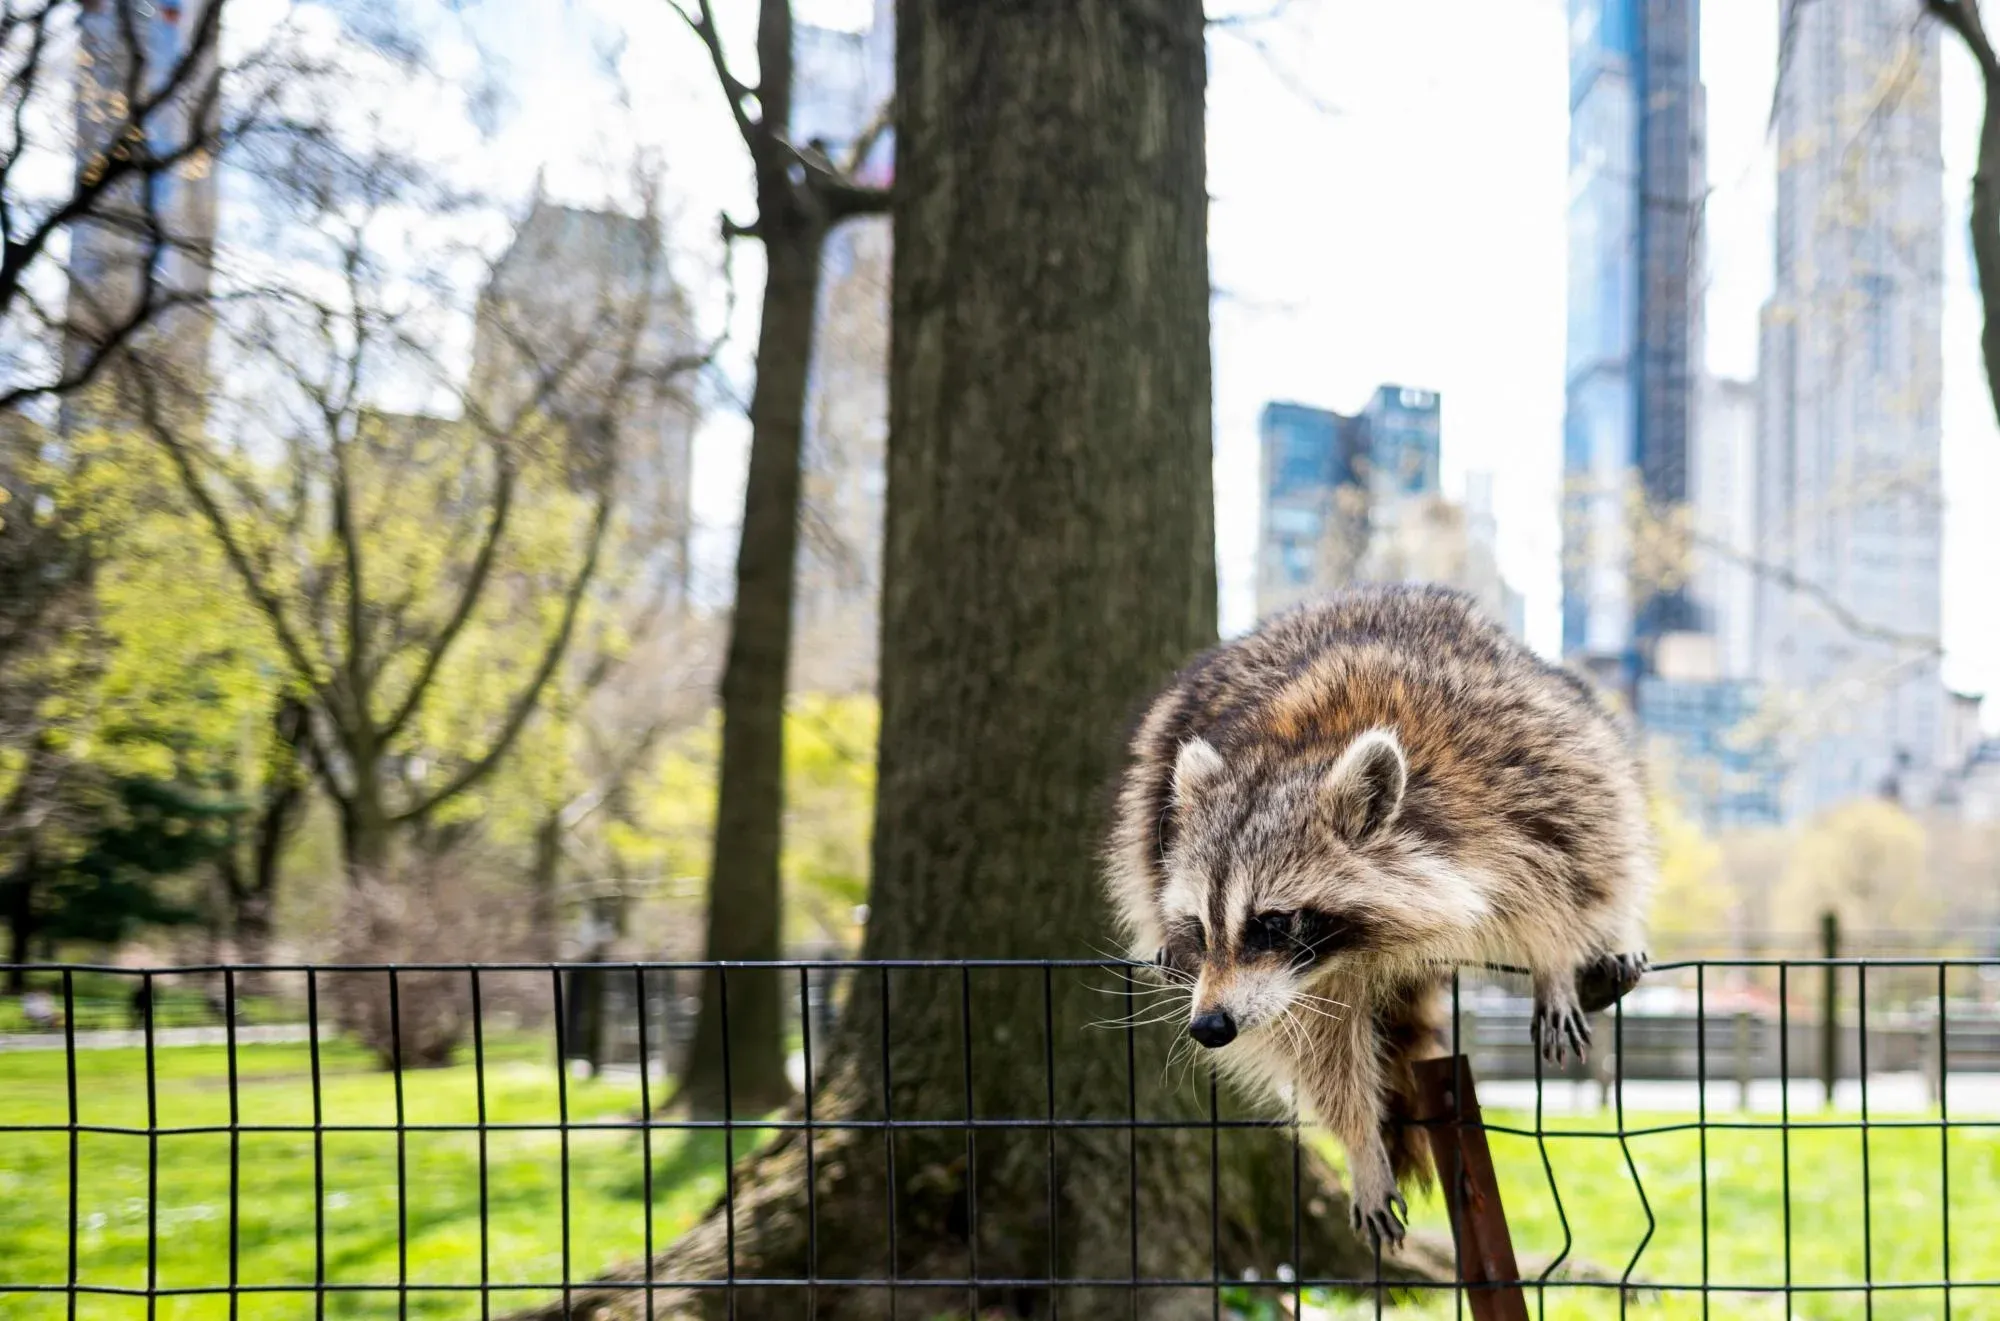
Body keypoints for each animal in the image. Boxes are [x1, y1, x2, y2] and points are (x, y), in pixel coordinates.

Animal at [1103, 585, 1651, 1245]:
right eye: (1201, 928)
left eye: (1271, 922)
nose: (1209, 1027)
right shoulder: (1306, 982)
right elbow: (1322, 1051)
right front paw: (1361, 1143)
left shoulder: (1519, 771)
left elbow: (1569, 866)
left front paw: (1553, 958)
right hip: (1154, 778)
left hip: (1569, 717)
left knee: (1615, 826)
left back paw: (1614, 935)